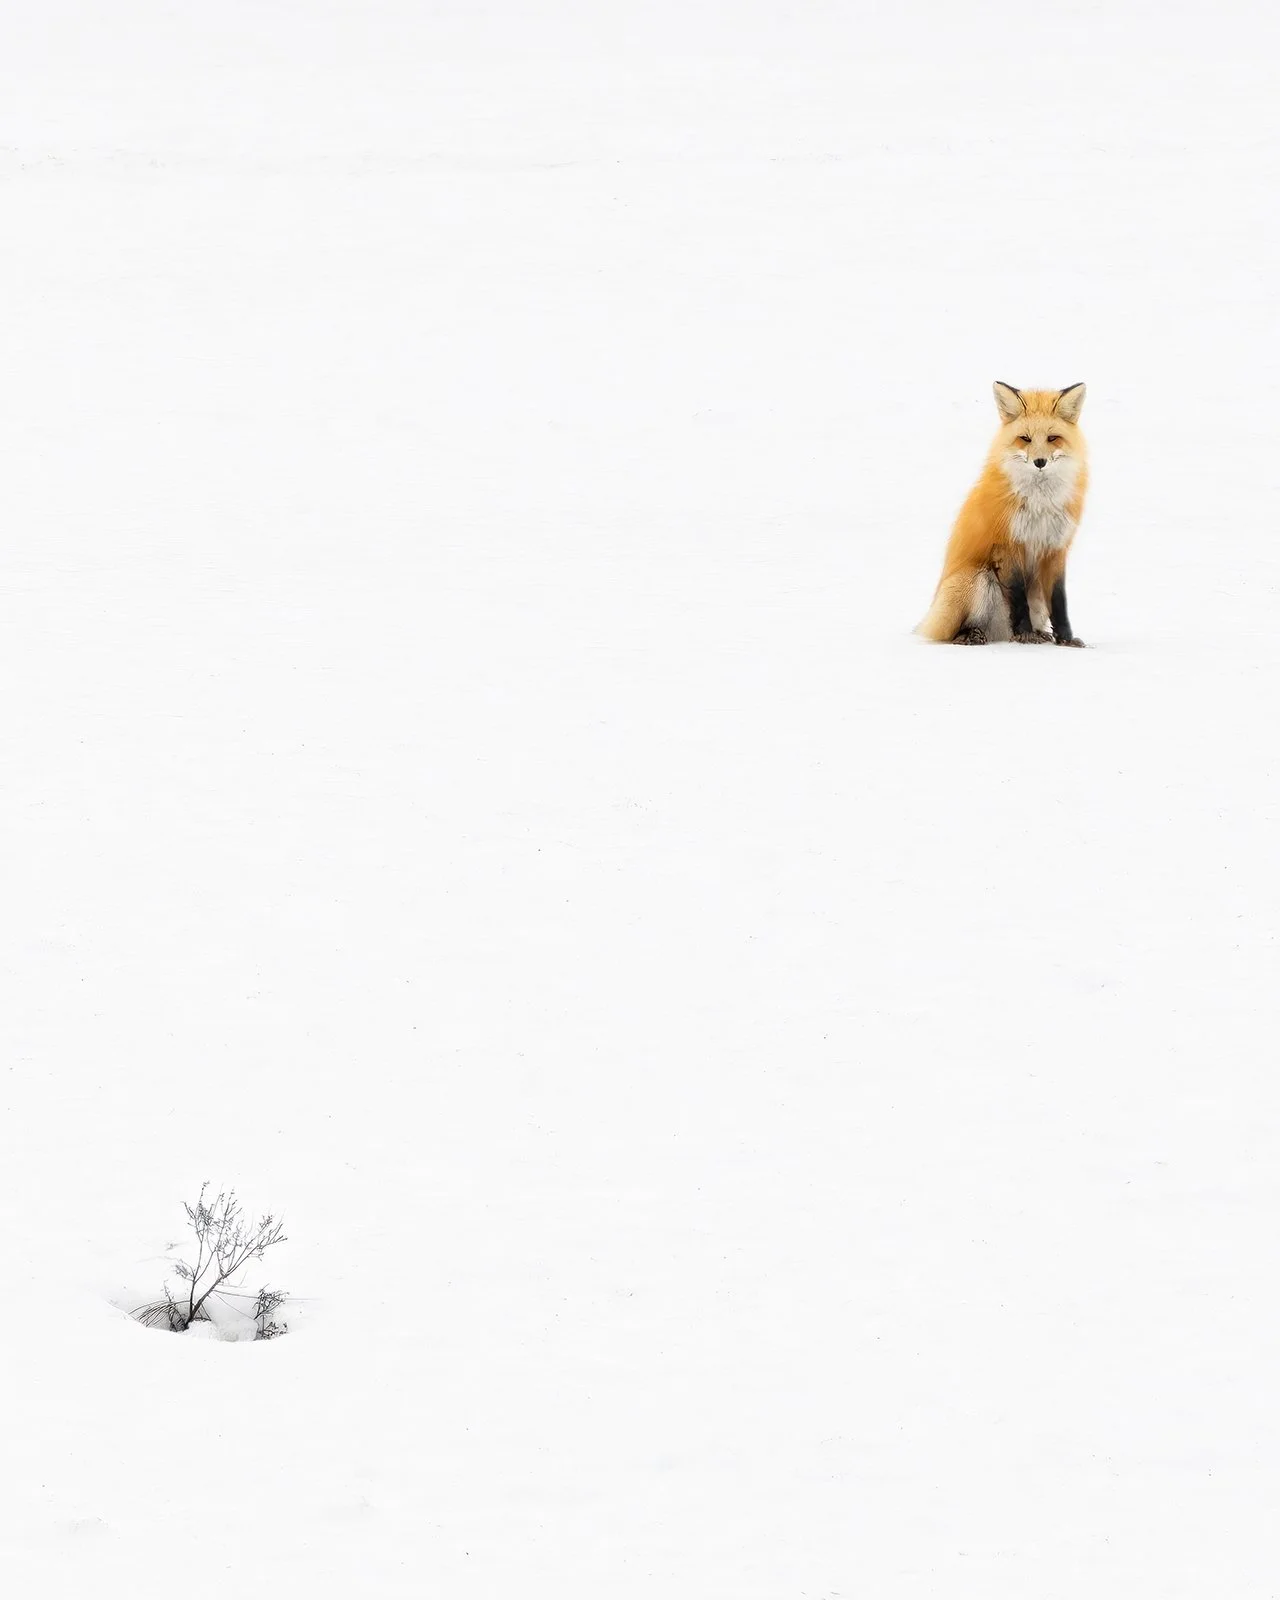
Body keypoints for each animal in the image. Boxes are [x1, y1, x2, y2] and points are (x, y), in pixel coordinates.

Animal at [917, 381, 1088, 646]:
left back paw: (1037, 633)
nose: (1040, 462)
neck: (1039, 505)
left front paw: (1066, 639)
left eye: (1052, 438)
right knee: (954, 632)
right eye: (1025, 439)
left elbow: (1059, 601)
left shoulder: (1055, 548)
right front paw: (1025, 633)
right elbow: (1018, 597)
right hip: (977, 578)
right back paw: (972, 635)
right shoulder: (1007, 543)